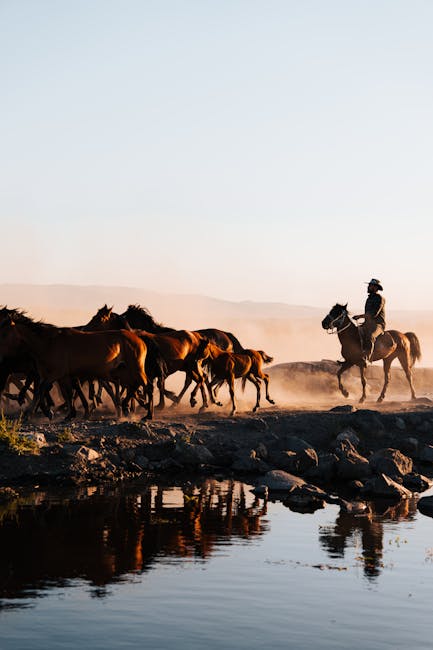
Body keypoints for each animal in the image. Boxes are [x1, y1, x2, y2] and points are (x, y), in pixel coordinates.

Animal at [0, 316, 152, 418]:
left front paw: (29, 413)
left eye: (4, 333)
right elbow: (68, 393)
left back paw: (146, 414)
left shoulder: (53, 375)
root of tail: (140, 340)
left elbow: (40, 391)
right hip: (124, 371)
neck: (48, 343)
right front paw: (69, 415)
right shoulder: (62, 376)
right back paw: (128, 407)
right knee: (133, 386)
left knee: (146, 386)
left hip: (135, 368)